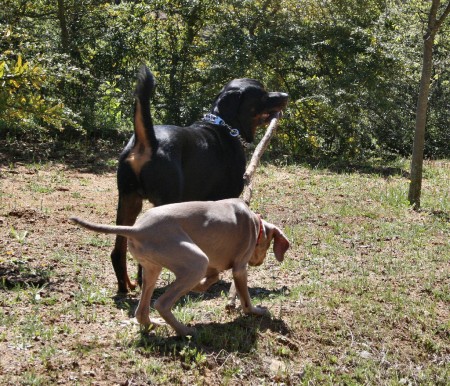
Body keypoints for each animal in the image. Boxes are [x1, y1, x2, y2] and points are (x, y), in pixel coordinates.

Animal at [70, 199, 288, 334]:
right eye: (268, 245)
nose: (258, 262)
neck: (255, 224)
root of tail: (138, 229)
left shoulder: (213, 265)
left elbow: (214, 277)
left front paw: (200, 286)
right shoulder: (240, 268)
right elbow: (246, 300)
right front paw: (257, 311)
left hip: (153, 268)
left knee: (142, 311)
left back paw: (154, 323)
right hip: (196, 260)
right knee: (161, 304)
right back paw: (185, 331)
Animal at [111, 65, 288, 292]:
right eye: (262, 94)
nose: (285, 95)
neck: (225, 127)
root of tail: (148, 141)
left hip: (128, 200)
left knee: (118, 250)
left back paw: (125, 285)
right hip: (163, 202)